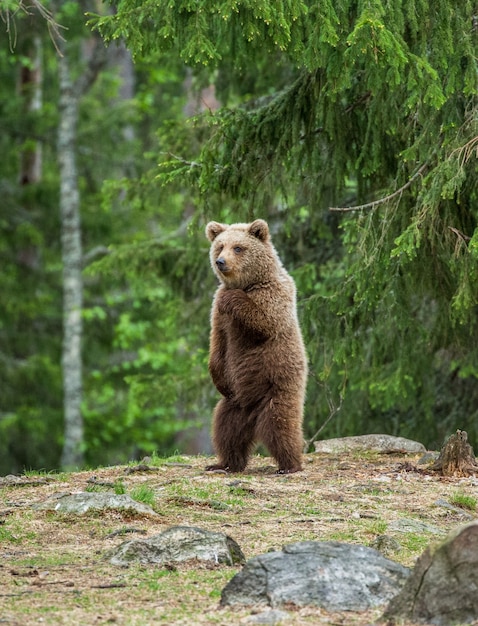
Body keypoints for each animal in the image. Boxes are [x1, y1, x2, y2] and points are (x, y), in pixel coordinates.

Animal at [204, 217, 308, 470]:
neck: (248, 283)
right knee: (226, 428)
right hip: (234, 403)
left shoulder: (274, 293)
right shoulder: (218, 317)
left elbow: (264, 321)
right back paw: (225, 463)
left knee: (281, 425)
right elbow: (218, 344)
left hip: (277, 387)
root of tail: (253, 411)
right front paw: (216, 376)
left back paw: (290, 464)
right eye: (220, 246)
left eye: (238, 247)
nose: (221, 262)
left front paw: (234, 299)